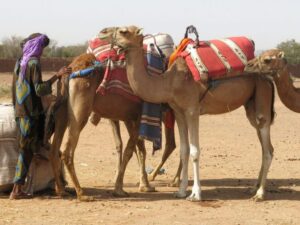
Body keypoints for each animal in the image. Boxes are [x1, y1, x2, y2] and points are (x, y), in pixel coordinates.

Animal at [48, 29, 176, 200]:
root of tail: (70, 71)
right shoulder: (137, 117)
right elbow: (131, 150)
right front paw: (120, 189)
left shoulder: (129, 118)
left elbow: (135, 148)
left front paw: (144, 185)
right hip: (80, 111)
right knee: (67, 151)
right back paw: (81, 194)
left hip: (62, 112)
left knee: (54, 149)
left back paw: (61, 190)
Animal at [100, 25, 276, 201]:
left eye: (123, 31)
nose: (103, 33)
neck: (169, 82)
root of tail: (269, 76)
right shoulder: (178, 112)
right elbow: (184, 150)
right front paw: (181, 191)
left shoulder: (192, 110)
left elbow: (194, 151)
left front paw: (196, 194)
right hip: (251, 105)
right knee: (265, 146)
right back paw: (254, 188)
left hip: (262, 96)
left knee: (267, 149)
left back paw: (260, 193)